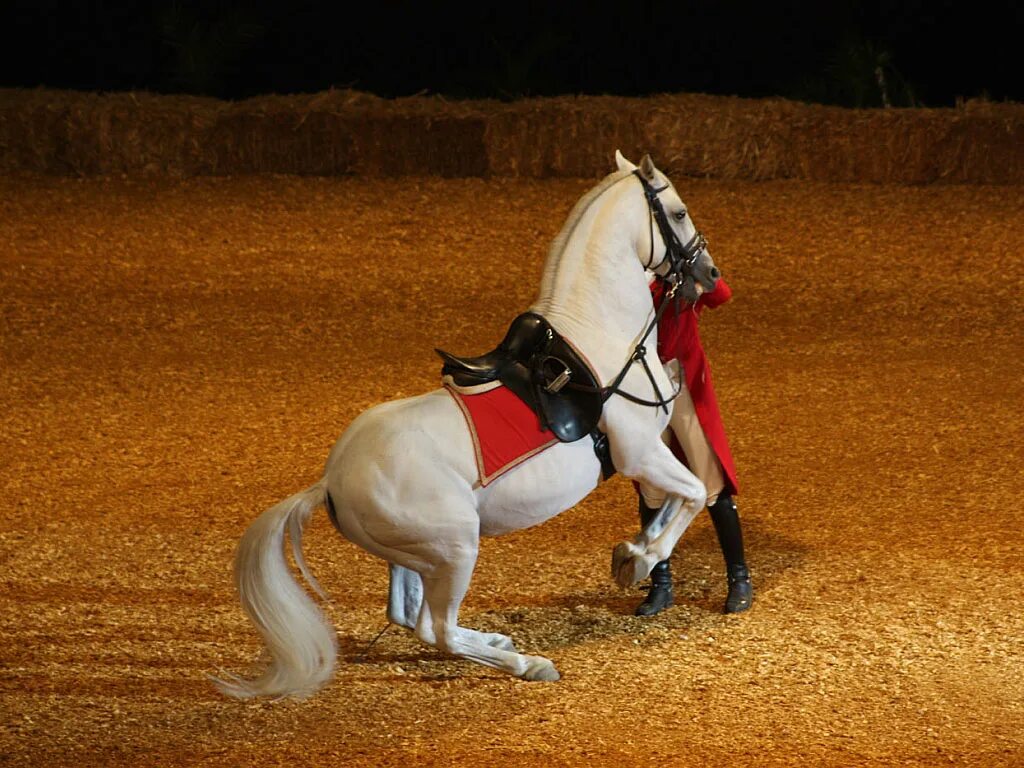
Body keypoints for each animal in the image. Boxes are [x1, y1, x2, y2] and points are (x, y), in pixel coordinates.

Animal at [218, 153, 720, 700]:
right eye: (678, 212)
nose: (709, 272)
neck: (596, 340)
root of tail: (330, 482)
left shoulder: (649, 454)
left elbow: (675, 499)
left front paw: (631, 553)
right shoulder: (641, 452)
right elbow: (696, 491)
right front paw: (642, 559)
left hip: (415, 555)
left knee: (408, 613)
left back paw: (497, 640)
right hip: (456, 546)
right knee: (435, 628)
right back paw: (529, 662)